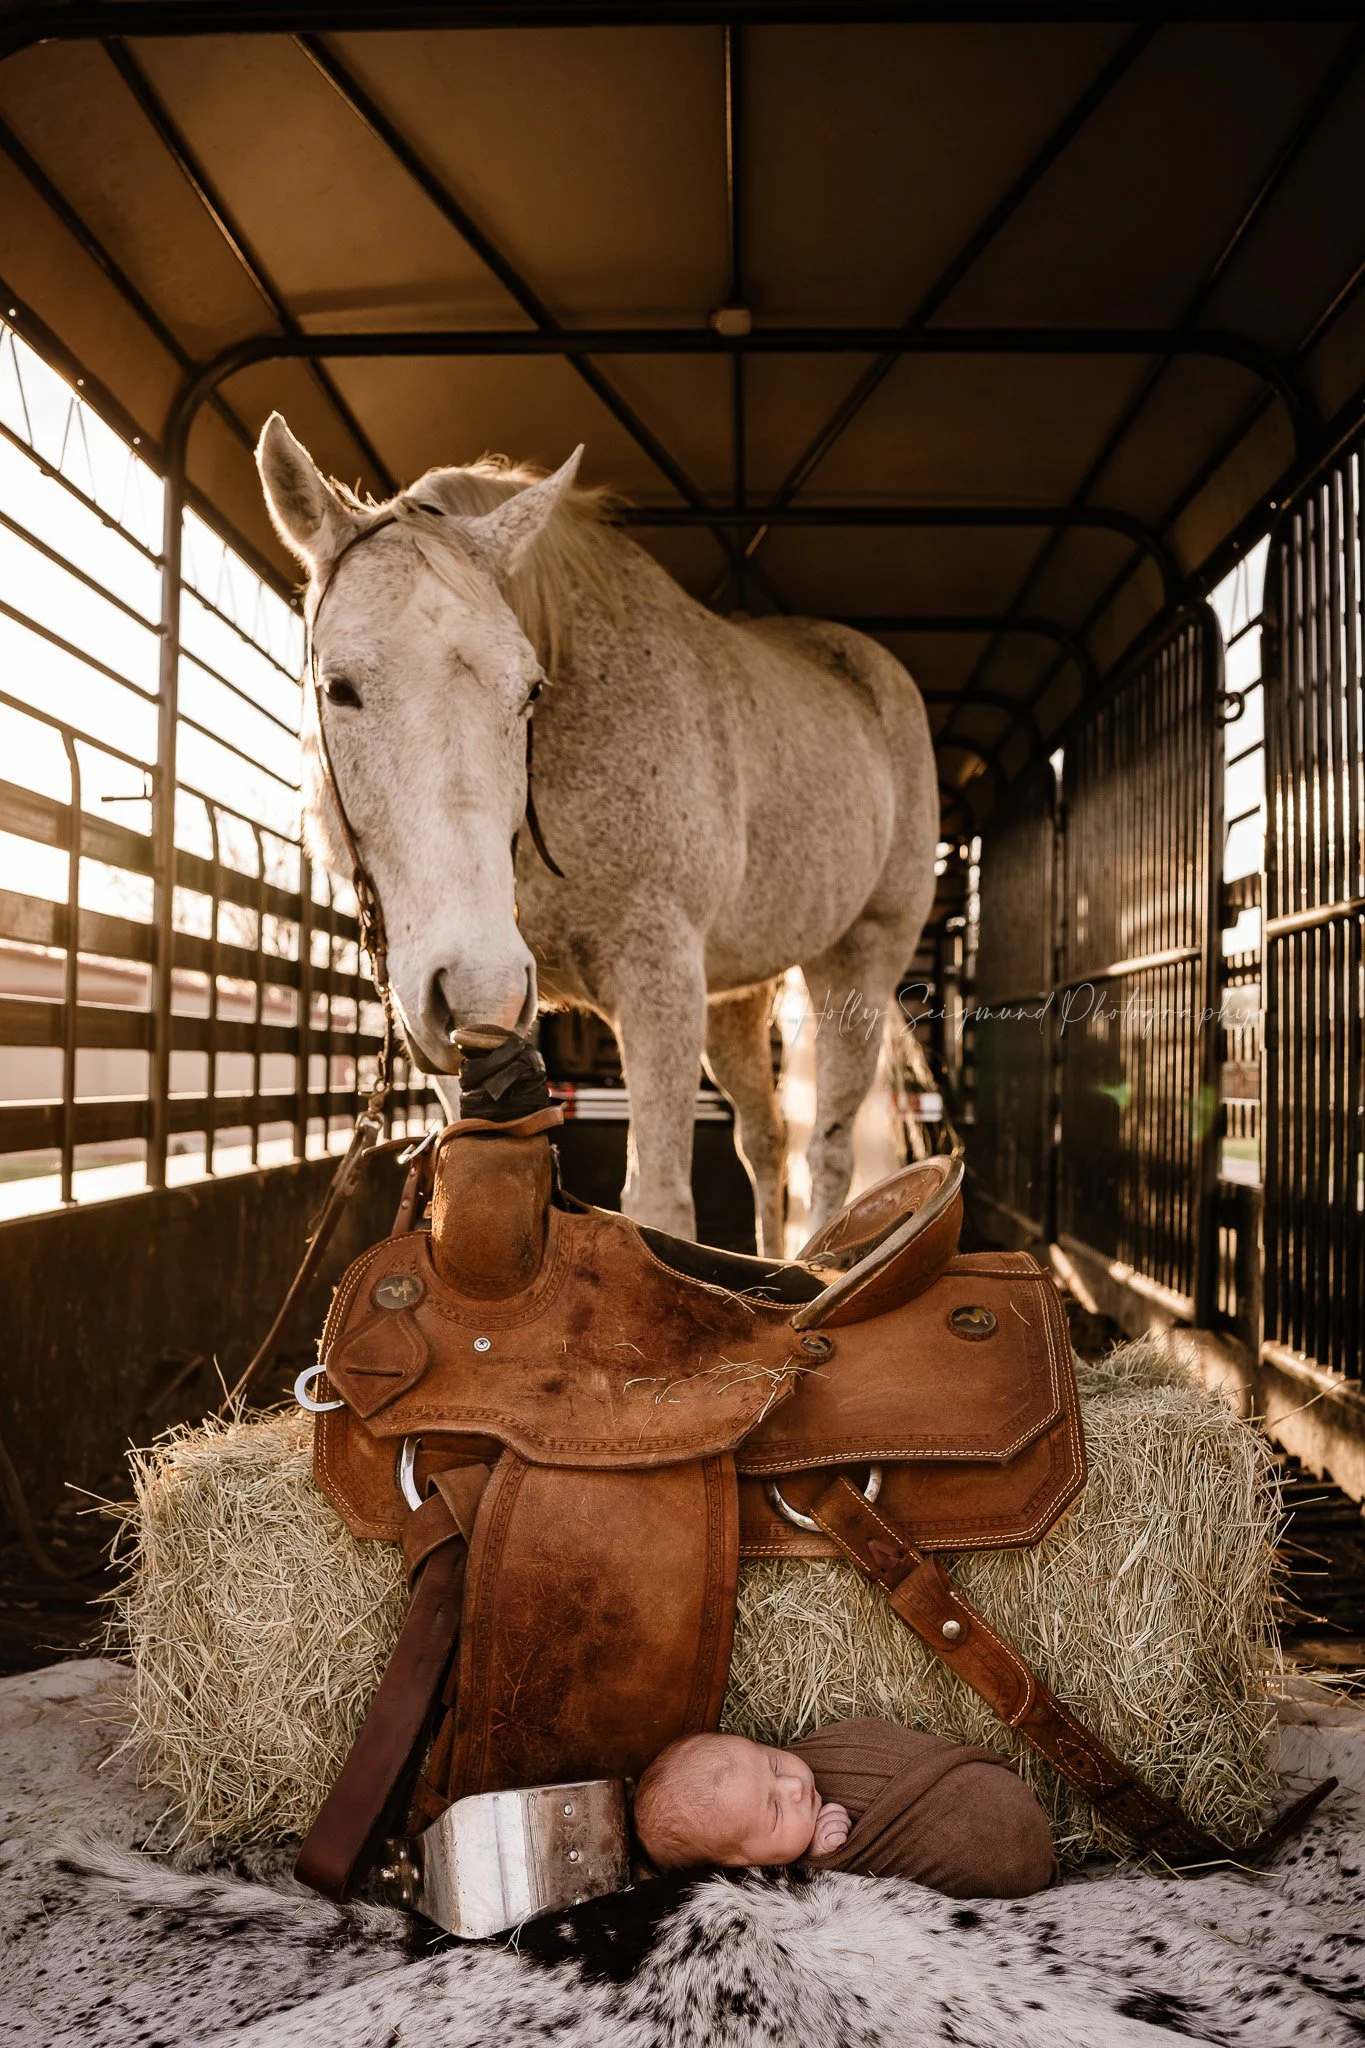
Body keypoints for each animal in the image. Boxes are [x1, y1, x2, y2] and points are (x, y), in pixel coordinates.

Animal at [256, 417, 938, 1252]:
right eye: (338, 688)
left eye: (530, 690)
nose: (479, 990)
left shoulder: (658, 980)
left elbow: (658, 1206)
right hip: (735, 1001)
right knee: (766, 1141)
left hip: (856, 962)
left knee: (828, 1153)